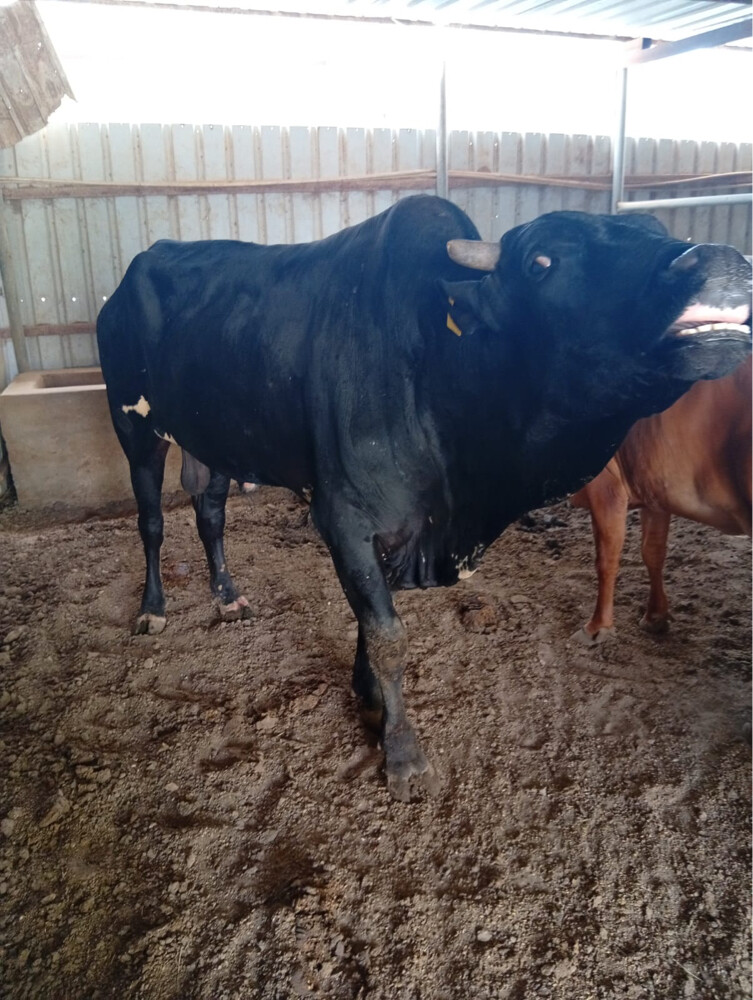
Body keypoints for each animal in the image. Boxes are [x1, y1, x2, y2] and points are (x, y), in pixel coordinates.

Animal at [571, 356, 751, 644]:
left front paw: (597, 626)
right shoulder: (654, 490)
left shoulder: (606, 485)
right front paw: (655, 617)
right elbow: (653, 552)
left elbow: (606, 558)